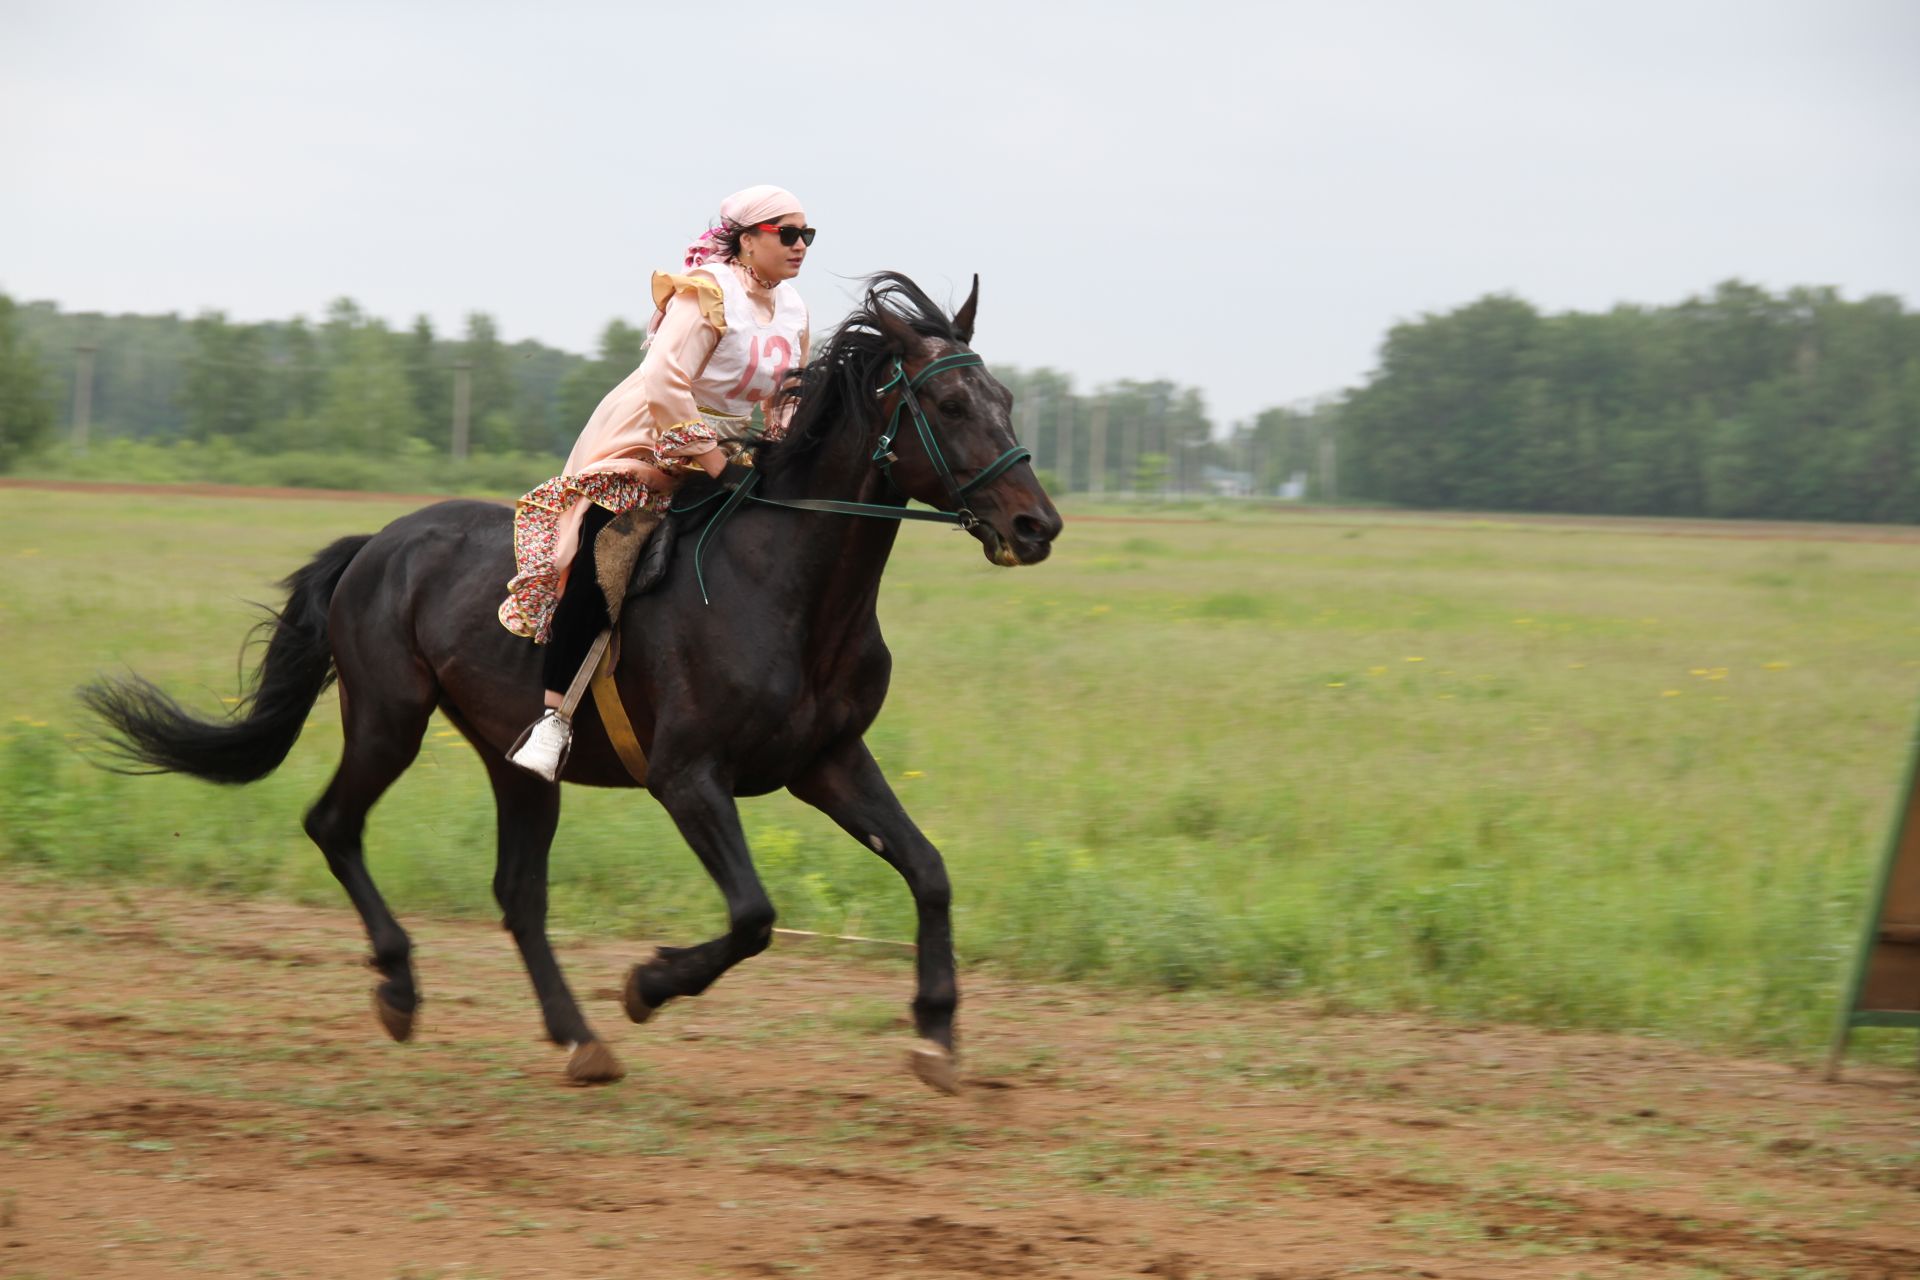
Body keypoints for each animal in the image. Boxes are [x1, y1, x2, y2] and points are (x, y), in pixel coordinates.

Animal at [82, 272, 1067, 1090]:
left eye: (1008, 399)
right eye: (949, 400)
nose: (1038, 525)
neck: (784, 589)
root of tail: (377, 545)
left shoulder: (827, 762)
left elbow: (929, 872)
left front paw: (936, 1035)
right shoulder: (687, 776)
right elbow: (753, 912)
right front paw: (649, 982)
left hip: (514, 759)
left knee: (517, 894)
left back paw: (577, 1038)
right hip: (389, 717)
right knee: (334, 824)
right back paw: (401, 987)